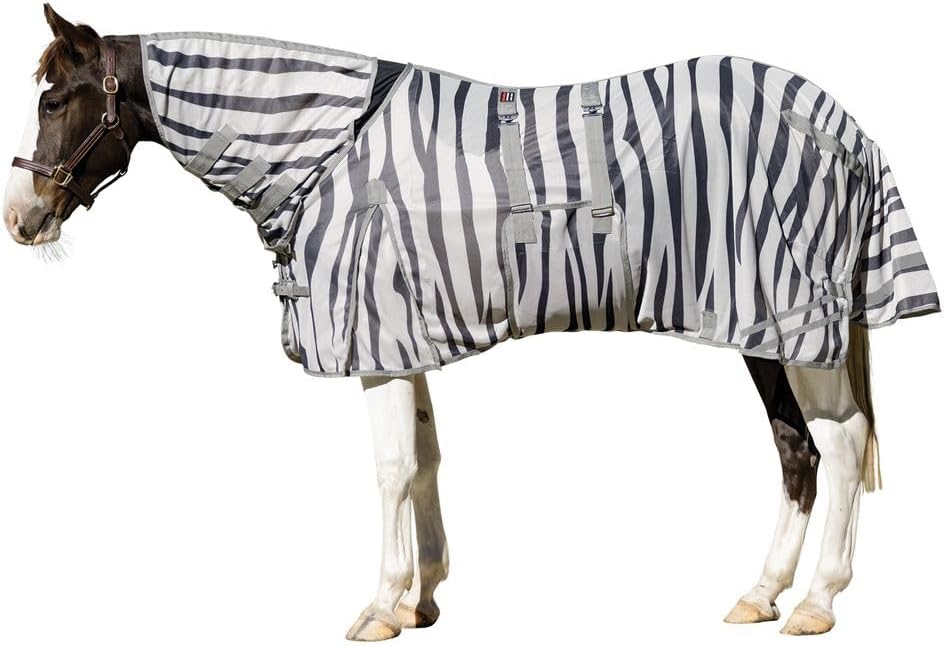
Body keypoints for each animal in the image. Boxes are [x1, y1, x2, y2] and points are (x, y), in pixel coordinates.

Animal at [3, 4, 939, 641]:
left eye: (54, 100)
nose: (20, 218)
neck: (327, 150)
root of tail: (836, 121)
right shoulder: (405, 333)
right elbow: (424, 460)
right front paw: (422, 598)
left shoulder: (375, 336)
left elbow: (388, 469)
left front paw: (378, 605)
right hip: (763, 329)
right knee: (797, 450)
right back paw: (759, 593)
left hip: (795, 319)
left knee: (841, 443)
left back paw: (815, 601)